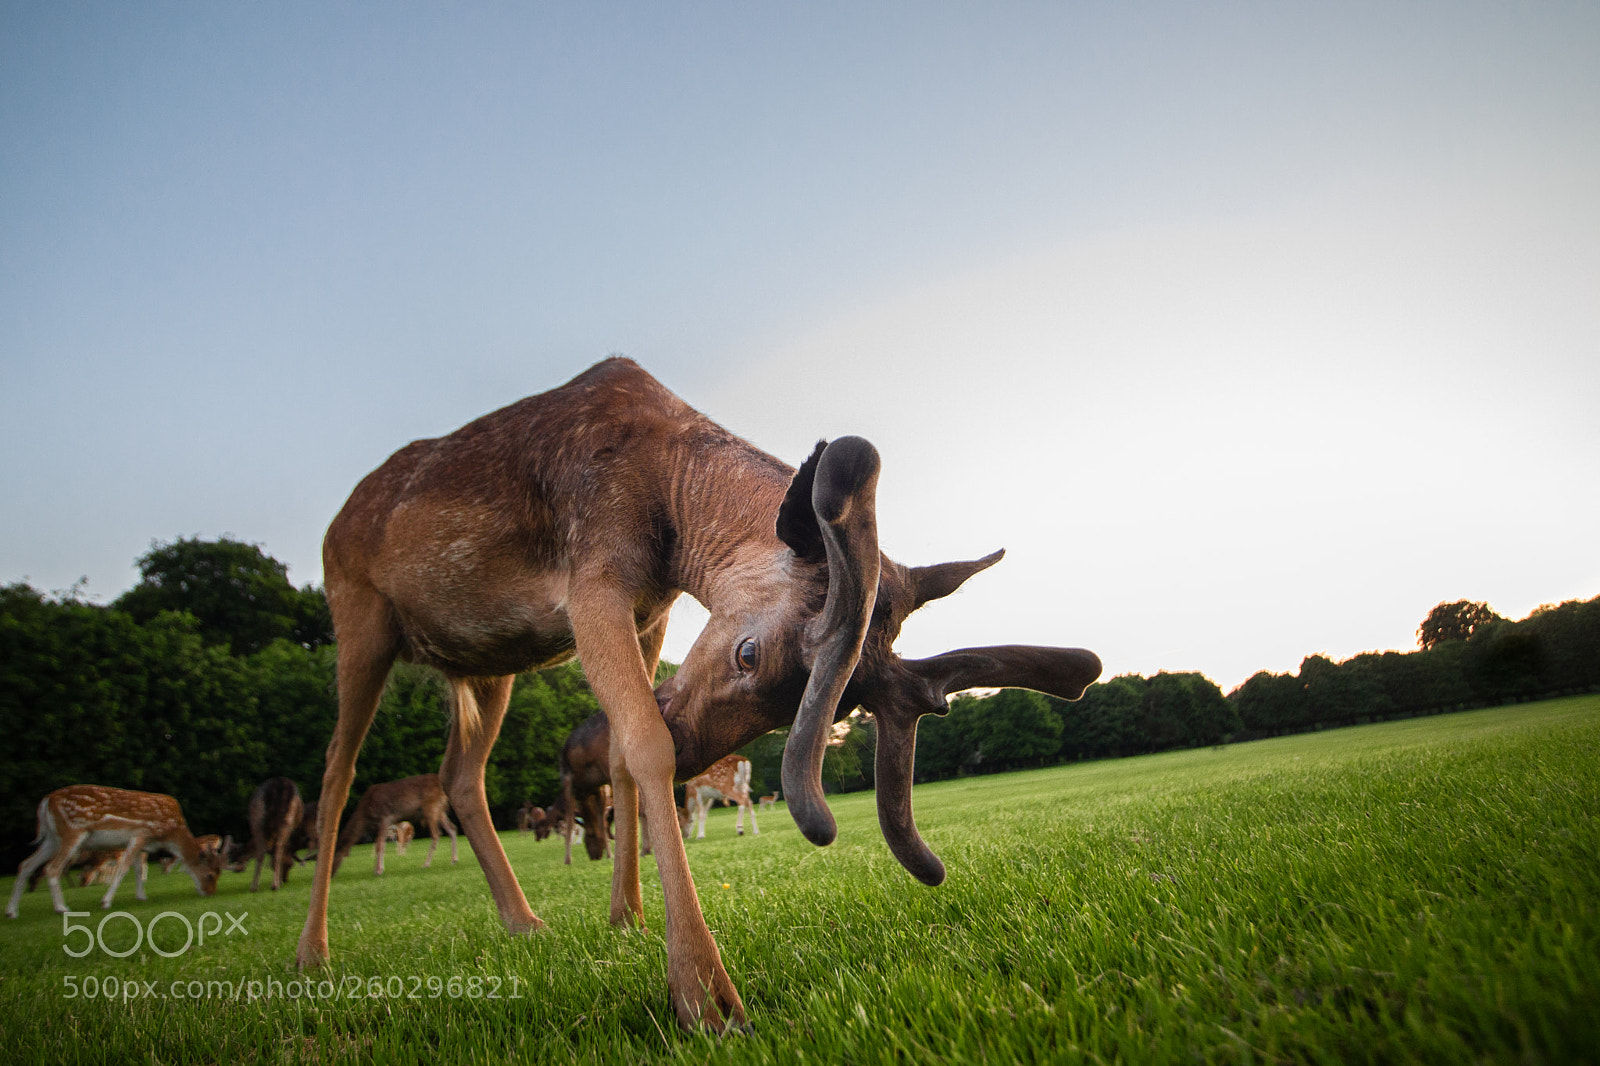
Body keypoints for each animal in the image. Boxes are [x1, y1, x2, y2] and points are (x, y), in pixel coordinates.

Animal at [7, 785, 225, 917]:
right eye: (210, 874)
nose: (210, 893)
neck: (170, 833)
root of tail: (46, 801)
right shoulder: (140, 834)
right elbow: (123, 869)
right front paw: (105, 902)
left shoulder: (141, 843)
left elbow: (138, 869)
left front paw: (141, 896)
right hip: (73, 831)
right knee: (52, 868)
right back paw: (62, 908)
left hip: (52, 838)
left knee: (25, 864)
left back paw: (12, 912)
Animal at [329, 774, 458, 877]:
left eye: (333, 856)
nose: (330, 875)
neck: (365, 816)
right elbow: (378, 844)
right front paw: (376, 869)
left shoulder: (385, 817)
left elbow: (380, 844)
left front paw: (379, 870)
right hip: (440, 811)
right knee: (452, 828)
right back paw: (454, 860)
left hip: (431, 807)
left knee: (436, 834)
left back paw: (426, 864)